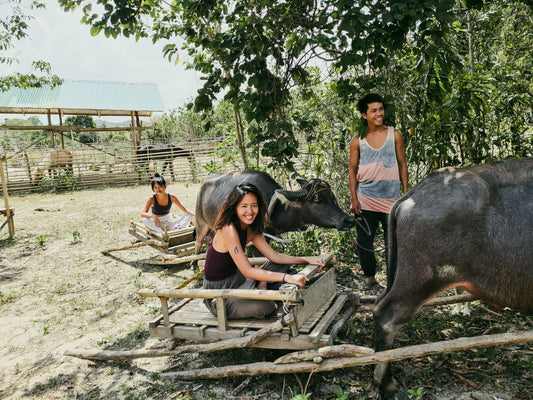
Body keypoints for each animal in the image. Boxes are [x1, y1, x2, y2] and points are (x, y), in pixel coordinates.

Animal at [193, 170, 356, 253]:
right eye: (318, 200)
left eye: (332, 198)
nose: (349, 220)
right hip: (201, 224)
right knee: (198, 242)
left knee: (209, 240)